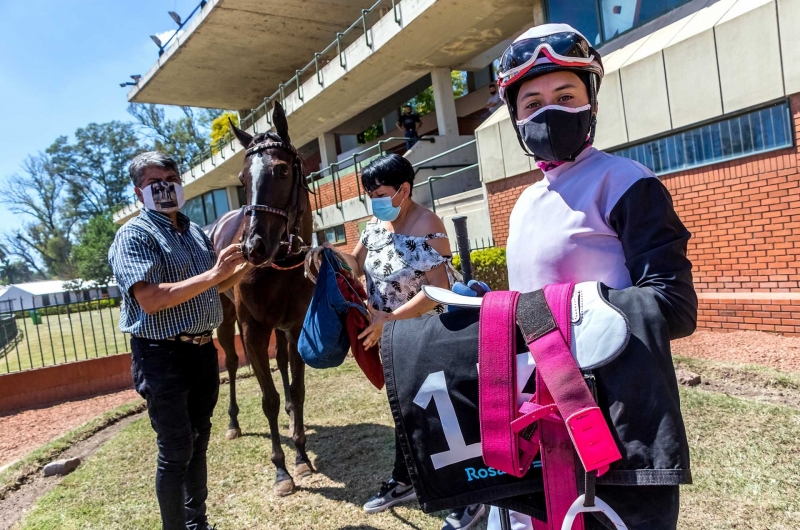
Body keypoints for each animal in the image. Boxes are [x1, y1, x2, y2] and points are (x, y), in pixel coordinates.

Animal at [208, 101, 314, 492]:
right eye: (242, 179)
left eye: (282, 170)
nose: (253, 247)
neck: (279, 266)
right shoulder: (253, 330)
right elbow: (268, 398)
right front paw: (281, 469)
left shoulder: (295, 326)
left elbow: (296, 389)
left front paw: (300, 455)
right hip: (227, 320)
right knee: (231, 362)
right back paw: (233, 423)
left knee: (281, 361)